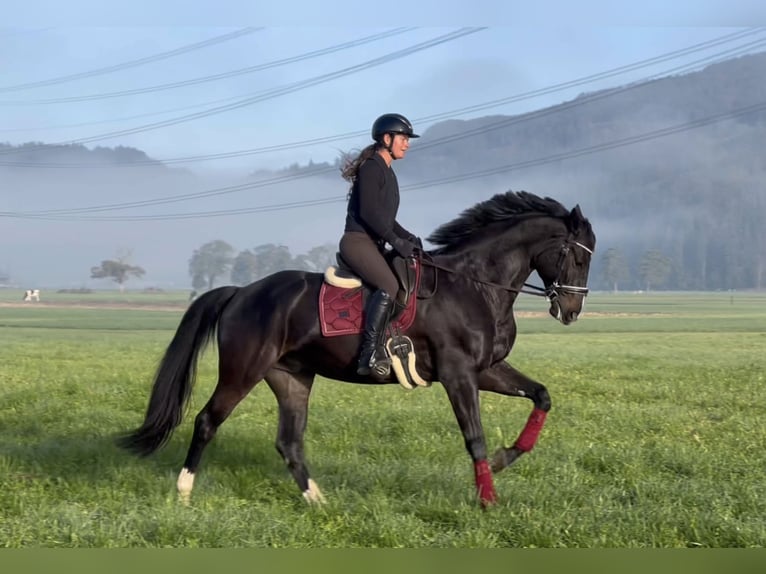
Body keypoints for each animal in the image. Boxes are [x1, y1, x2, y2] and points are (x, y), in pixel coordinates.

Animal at [121, 190, 600, 508]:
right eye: (577, 257)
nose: (572, 310)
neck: (475, 285)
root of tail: (242, 292)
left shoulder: (486, 369)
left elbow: (541, 396)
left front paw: (504, 460)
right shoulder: (458, 373)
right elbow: (474, 437)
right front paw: (488, 500)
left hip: (292, 377)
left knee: (289, 442)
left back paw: (318, 501)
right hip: (243, 370)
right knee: (206, 421)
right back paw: (184, 491)